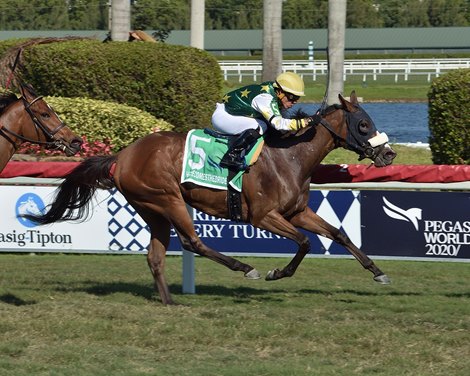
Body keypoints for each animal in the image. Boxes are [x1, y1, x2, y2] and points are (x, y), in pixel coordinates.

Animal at [23, 92, 394, 306]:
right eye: (363, 124)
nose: (388, 154)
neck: (289, 156)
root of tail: (123, 155)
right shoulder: (263, 216)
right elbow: (304, 242)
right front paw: (276, 273)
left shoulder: (297, 211)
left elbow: (338, 234)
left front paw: (378, 272)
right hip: (168, 198)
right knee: (193, 241)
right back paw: (245, 268)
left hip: (151, 208)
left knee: (155, 255)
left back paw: (170, 301)